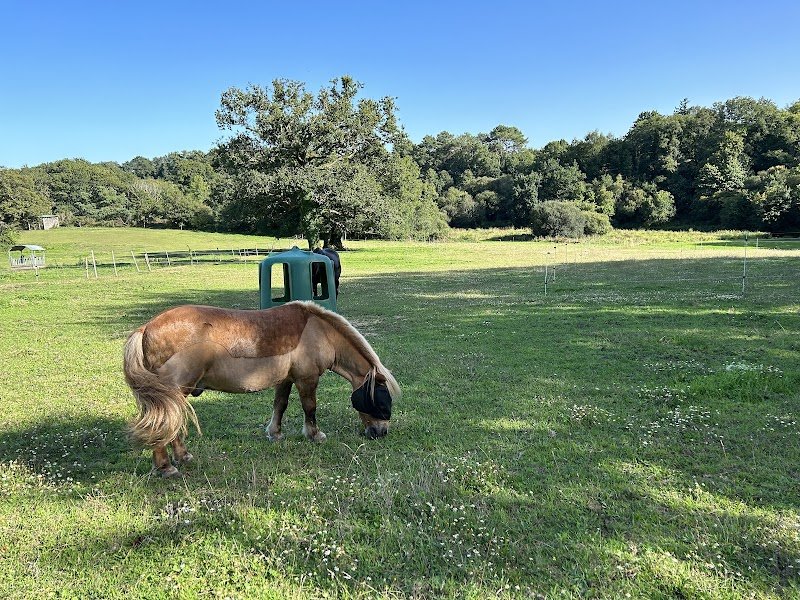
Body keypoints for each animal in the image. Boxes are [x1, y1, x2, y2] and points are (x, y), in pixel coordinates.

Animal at [123, 300, 400, 477]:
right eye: (382, 401)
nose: (381, 432)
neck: (319, 332)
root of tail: (146, 328)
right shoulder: (307, 379)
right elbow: (310, 408)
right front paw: (315, 435)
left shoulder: (286, 379)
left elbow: (280, 405)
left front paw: (275, 433)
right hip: (173, 393)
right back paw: (166, 467)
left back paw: (182, 457)